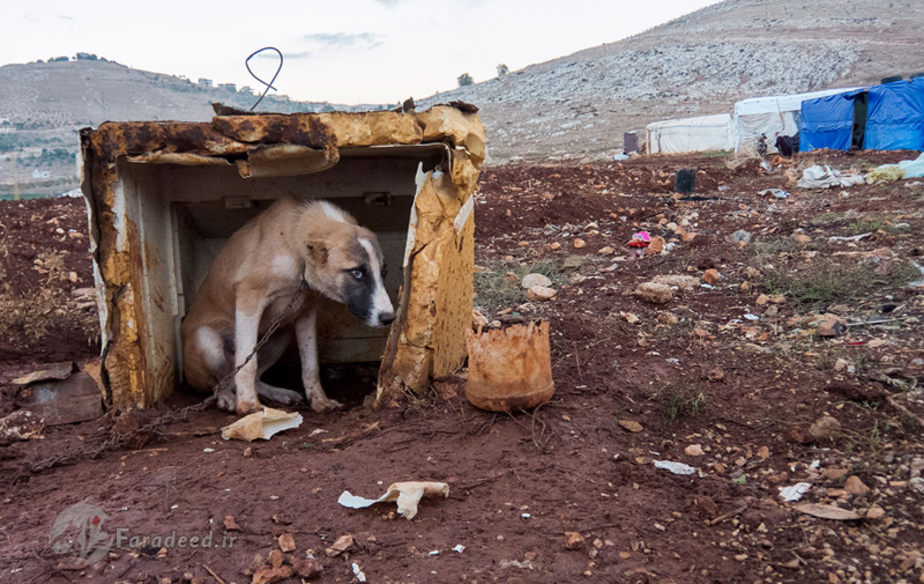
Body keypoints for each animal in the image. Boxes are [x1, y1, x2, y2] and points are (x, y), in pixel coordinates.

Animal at [180, 198, 395, 415]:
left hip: (279, 336)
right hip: (207, 341)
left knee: (251, 378)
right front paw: (248, 404)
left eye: (384, 272)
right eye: (356, 273)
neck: (296, 252)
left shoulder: (306, 312)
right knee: (221, 383)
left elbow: (311, 365)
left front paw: (319, 401)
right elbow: (247, 362)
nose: (389, 318)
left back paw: (279, 393)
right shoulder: (249, 296)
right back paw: (228, 398)